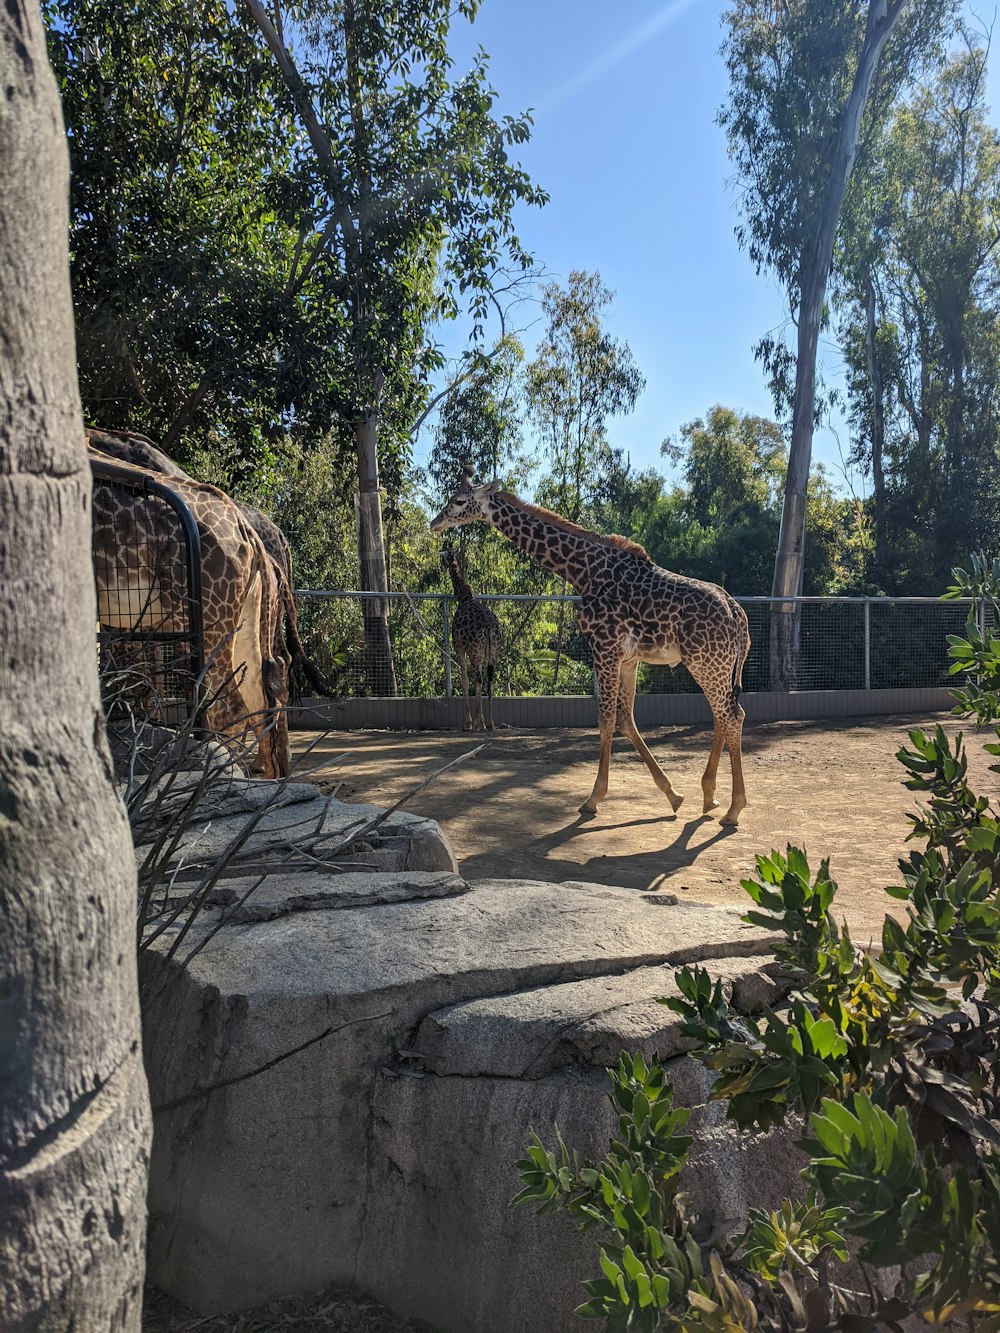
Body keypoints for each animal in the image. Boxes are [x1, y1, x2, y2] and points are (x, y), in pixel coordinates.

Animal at [440, 538, 501, 735]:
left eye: (441, 557)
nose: (442, 568)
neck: (463, 597)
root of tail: (489, 629)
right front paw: (479, 721)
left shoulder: (458, 646)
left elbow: (465, 680)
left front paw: (468, 722)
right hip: (493, 651)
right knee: (489, 680)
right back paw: (491, 723)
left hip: (475, 651)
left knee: (479, 680)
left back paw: (478, 723)